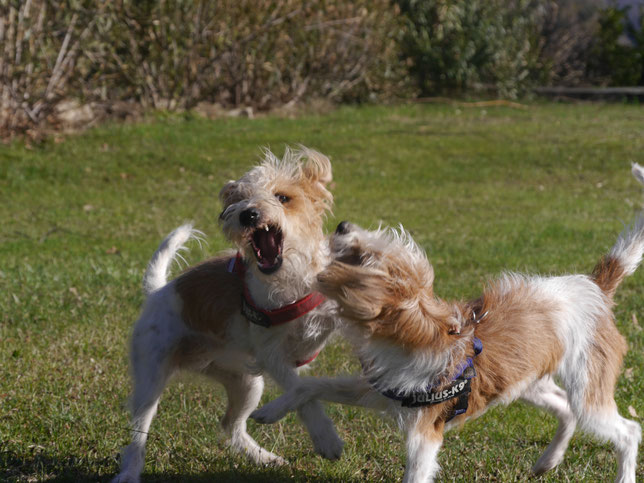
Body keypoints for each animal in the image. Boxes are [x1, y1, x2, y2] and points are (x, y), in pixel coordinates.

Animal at [113, 147, 344, 483]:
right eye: (239, 200)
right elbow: (303, 392)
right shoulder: (272, 353)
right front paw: (326, 438)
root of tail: (158, 291)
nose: (248, 214)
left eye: (283, 197)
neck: (291, 280)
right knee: (138, 433)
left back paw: (263, 458)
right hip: (150, 378)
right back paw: (130, 471)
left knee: (230, 424)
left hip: (246, 382)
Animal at [254, 220, 640, 483]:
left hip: (588, 392)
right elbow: (311, 384)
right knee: (565, 409)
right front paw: (271, 411)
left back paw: (622, 475)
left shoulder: (425, 434)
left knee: (629, 431)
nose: (343, 225)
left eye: (364, 256)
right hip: (525, 383)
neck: (415, 330)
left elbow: (416, 474)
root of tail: (593, 285)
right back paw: (547, 461)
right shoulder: (378, 389)